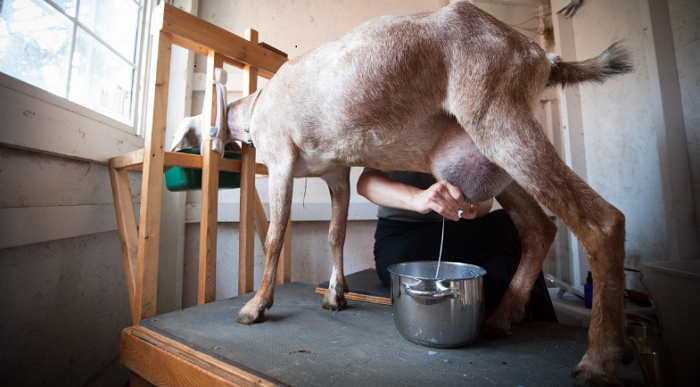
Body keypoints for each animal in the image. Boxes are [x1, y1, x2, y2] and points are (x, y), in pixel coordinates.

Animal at [178, 2, 632, 384]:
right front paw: (336, 296)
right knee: (540, 228)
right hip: (496, 154)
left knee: (602, 221)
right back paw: (501, 318)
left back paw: (598, 361)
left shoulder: (281, 165)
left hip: (499, 120)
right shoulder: (337, 175)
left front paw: (255, 307)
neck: (259, 105)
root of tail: (541, 55)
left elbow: (275, 238)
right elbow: (336, 234)